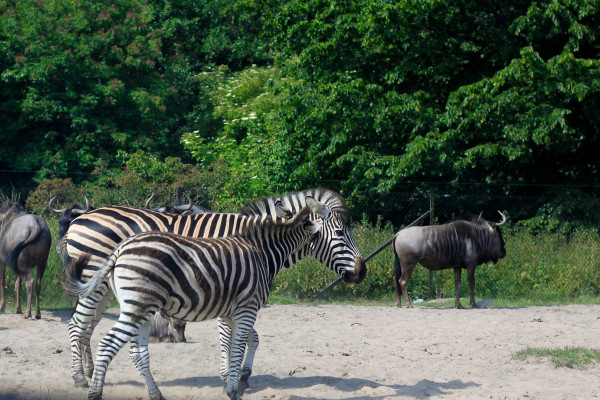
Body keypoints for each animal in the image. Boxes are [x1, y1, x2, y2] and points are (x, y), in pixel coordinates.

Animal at [61, 189, 364, 390]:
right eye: (340, 234)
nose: (363, 271)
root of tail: (80, 218)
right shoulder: (225, 289)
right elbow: (230, 339)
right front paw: (229, 376)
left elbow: (253, 338)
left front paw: (243, 374)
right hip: (96, 280)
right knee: (76, 324)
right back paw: (79, 378)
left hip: (109, 288)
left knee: (88, 326)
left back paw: (89, 372)